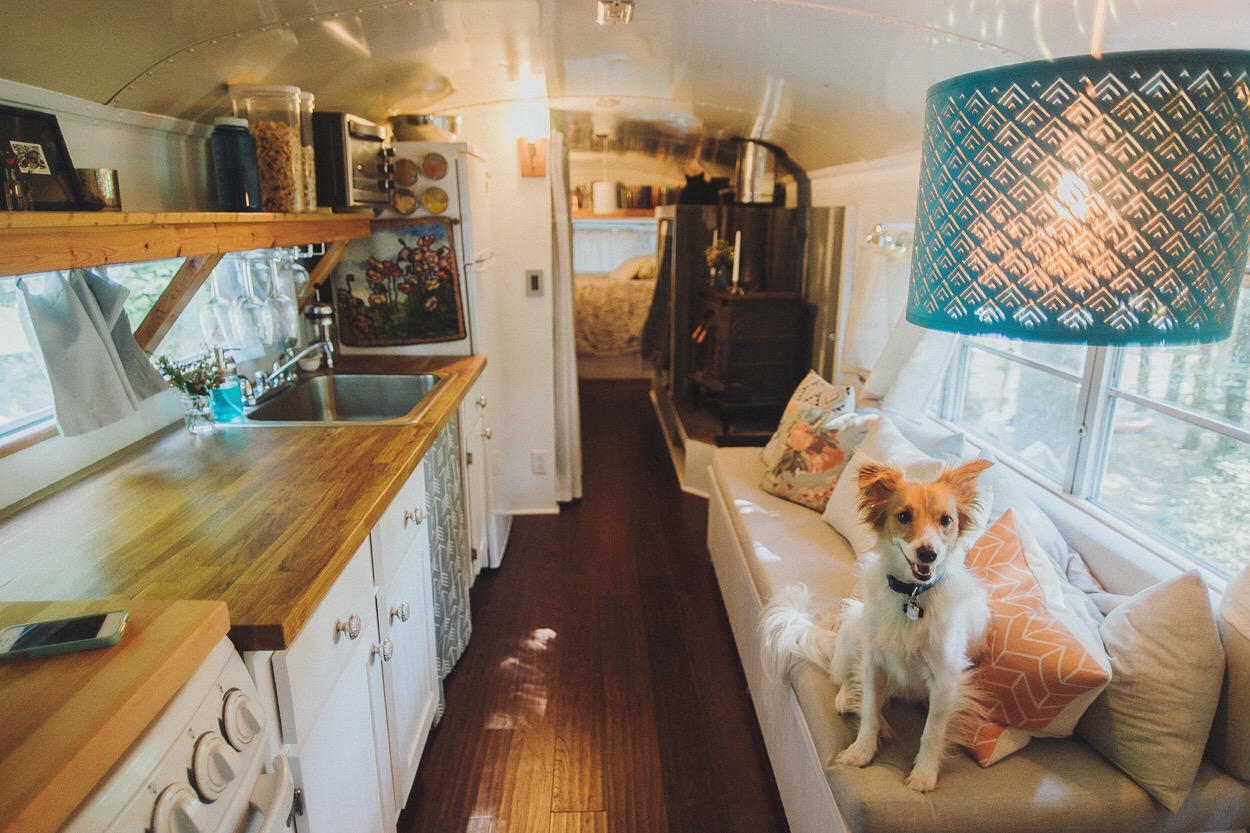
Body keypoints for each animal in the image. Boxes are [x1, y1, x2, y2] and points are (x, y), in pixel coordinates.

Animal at [760, 457, 995, 790]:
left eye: (946, 520)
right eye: (904, 516)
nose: (928, 553)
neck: (913, 595)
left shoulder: (946, 679)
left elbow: (933, 731)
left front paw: (924, 774)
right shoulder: (875, 663)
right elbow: (869, 710)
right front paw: (862, 751)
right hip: (854, 630)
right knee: (847, 687)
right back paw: (857, 703)